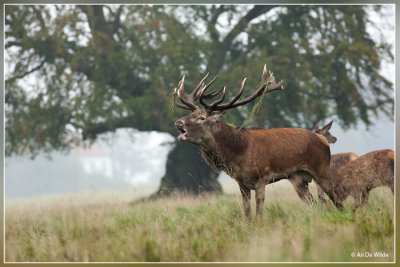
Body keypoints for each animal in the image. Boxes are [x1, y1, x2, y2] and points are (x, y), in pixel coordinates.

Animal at [173, 65, 342, 218]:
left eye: (201, 118)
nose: (178, 122)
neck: (238, 154)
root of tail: (323, 140)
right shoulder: (241, 183)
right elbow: (247, 213)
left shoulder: (261, 178)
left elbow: (259, 213)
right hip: (298, 178)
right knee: (315, 205)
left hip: (321, 170)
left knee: (337, 200)